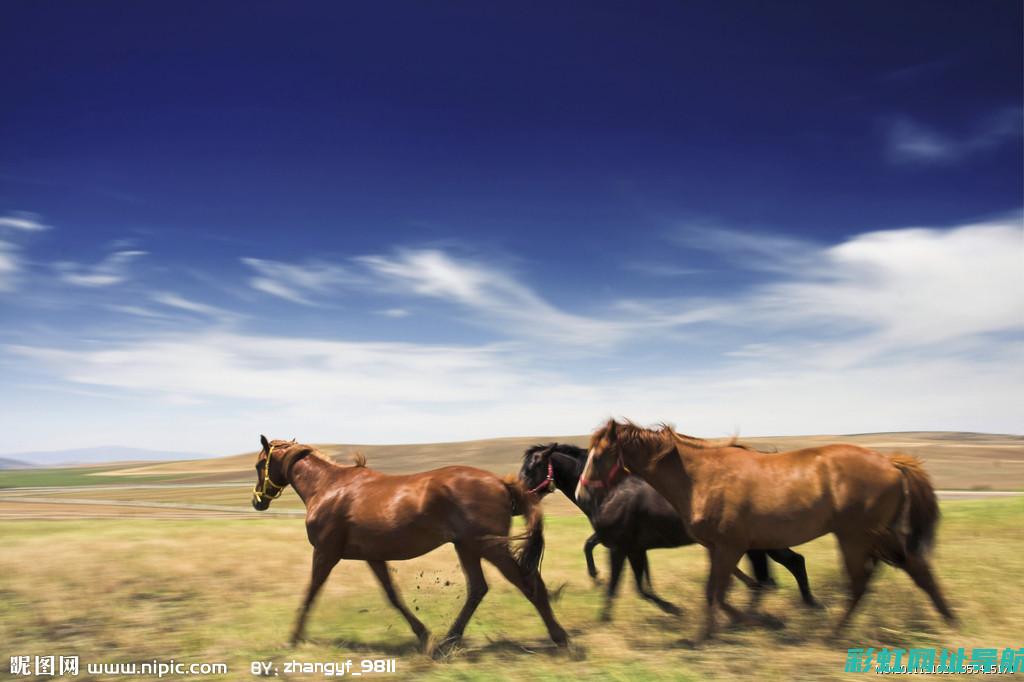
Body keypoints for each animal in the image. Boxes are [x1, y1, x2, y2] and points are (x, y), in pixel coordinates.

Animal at [248, 438, 569, 651]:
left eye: (259, 464)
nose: (257, 501)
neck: (328, 488)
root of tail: (502, 482)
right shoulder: (373, 556)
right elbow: (393, 596)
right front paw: (423, 635)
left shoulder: (325, 553)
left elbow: (310, 593)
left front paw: (293, 638)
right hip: (467, 547)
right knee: (479, 588)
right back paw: (447, 642)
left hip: (490, 548)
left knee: (528, 584)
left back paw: (560, 638)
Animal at [516, 440, 819, 614]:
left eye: (531, 469)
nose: (517, 498)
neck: (611, 490)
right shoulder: (633, 547)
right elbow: (640, 584)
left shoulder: (620, 546)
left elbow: (618, 584)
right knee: (780, 568)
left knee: (787, 565)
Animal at [573, 417, 954, 638]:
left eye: (599, 455)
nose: (582, 493)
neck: (699, 477)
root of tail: (890, 463)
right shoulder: (719, 549)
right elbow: (720, 591)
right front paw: (714, 632)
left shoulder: (731, 547)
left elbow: (721, 593)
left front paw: (755, 624)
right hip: (877, 536)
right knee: (915, 569)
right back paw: (950, 621)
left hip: (857, 537)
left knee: (862, 582)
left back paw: (833, 633)